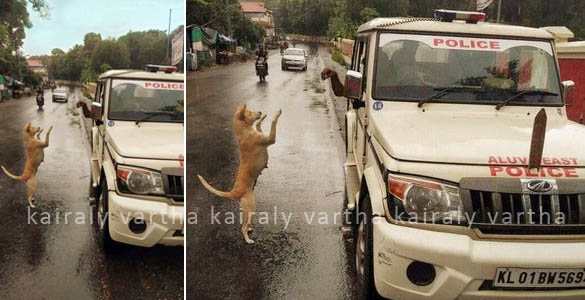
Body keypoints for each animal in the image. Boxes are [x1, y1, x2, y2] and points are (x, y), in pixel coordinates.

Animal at [197, 103, 282, 244]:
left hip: (247, 210)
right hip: (251, 208)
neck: (244, 132)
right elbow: (274, 122)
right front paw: (277, 113)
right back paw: (247, 239)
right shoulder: (270, 138)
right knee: (242, 227)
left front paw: (262, 118)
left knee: (245, 224)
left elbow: (258, 125)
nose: (260, 112)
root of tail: (234, 192)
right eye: (250, 112)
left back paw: (249, 230)